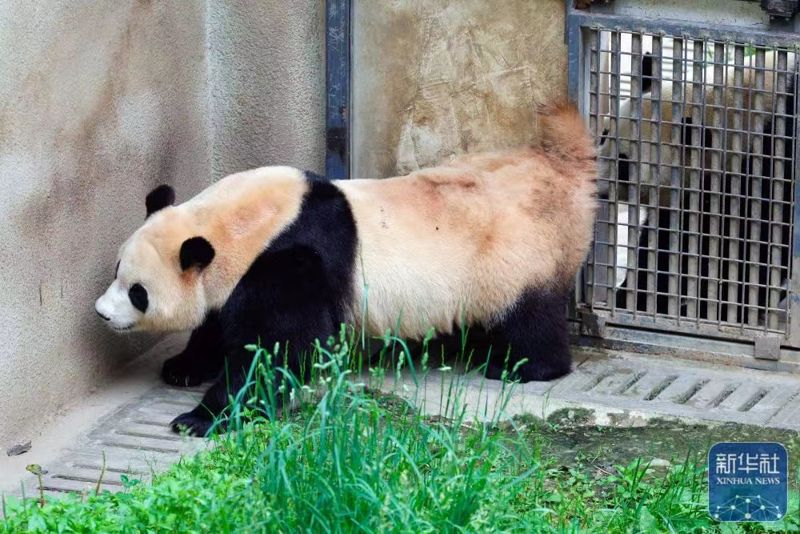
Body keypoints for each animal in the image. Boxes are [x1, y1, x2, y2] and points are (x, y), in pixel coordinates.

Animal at [94, 102, 596, 438]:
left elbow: (277, 346)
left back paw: (521, 366)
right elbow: (220, 324)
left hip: (514, 256)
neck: (244, 223)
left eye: (137, 291)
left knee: (528, 317)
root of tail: (561, 173)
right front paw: (183, 367)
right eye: (116, 269)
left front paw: (201, 417)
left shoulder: (291, 259)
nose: (101, 312)